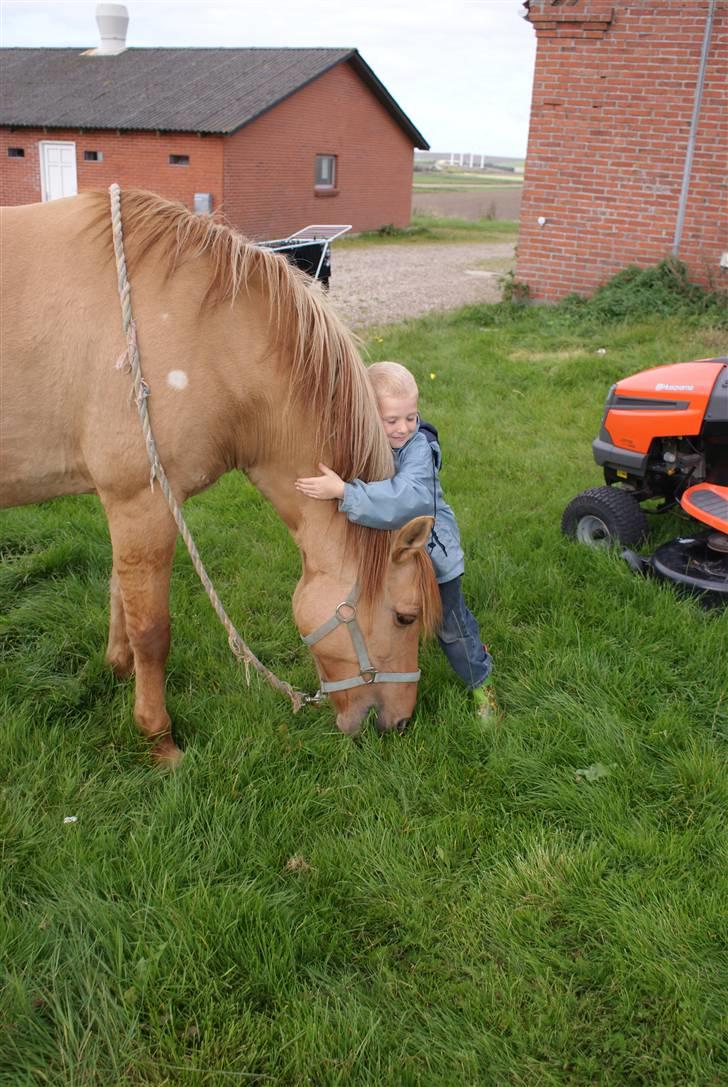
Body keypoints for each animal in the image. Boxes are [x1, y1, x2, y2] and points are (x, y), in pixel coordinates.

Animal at [0, 189, 438, 765]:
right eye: (406, 617)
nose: (402, 723)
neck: (208, 337)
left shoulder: (124, 503)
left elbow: (119, 591)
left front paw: (117, 669)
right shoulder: (143, 503)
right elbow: (152, 630)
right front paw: (159, 739)